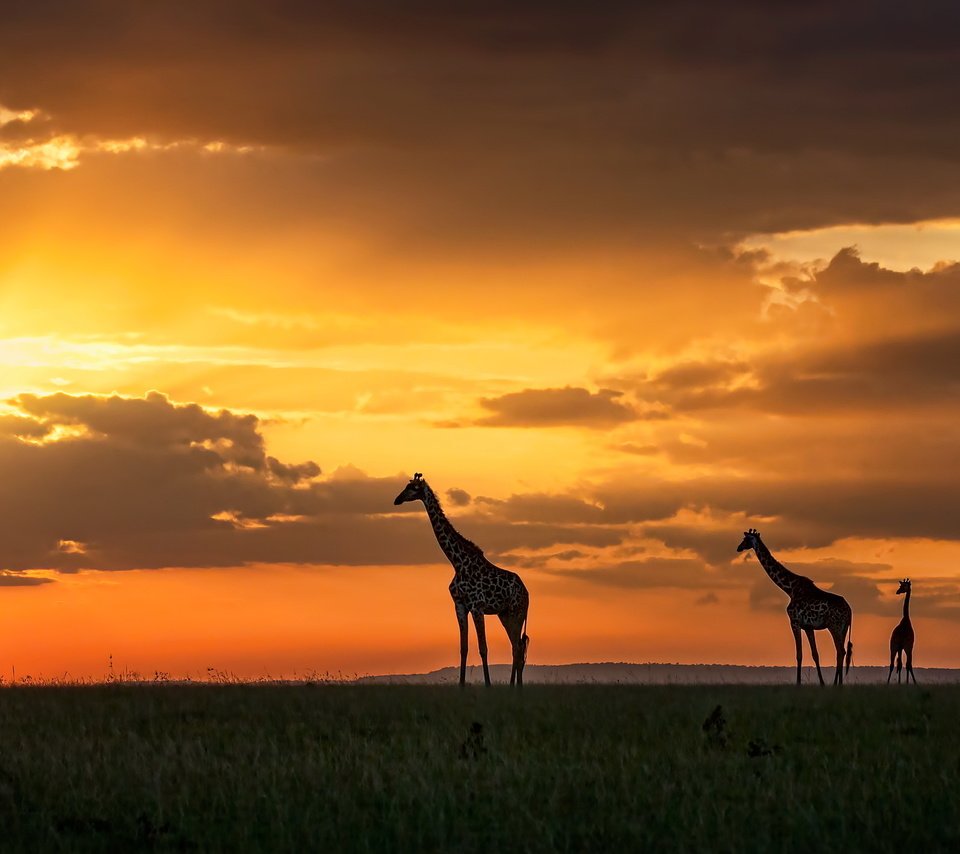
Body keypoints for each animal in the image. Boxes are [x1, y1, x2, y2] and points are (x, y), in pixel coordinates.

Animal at [392, 474, 532, 688]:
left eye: (413, 488)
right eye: (406, 486)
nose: (397, 500)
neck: (457, 562)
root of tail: (527, 593)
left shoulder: (477, 606)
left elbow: (483, 648)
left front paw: (488, 686)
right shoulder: (459, 605)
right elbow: (463, 648)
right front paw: (461, 685)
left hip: (517, 612)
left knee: (518, 648)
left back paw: (516, 688)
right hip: (505, 615)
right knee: (516, 648)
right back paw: (514, 688)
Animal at [736, 528, 856, 688]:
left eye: (746, 539)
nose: (738, 548)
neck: (790, 588)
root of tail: (849, 611)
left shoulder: (794, 622)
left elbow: (799, 654)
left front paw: (798, 683)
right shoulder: (808, 627)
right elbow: (815, 654)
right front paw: (822, 683)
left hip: (834, 626)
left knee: (840, 651)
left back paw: (839, 684)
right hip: (843, 628)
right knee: (840, 652)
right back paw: (837, 684)